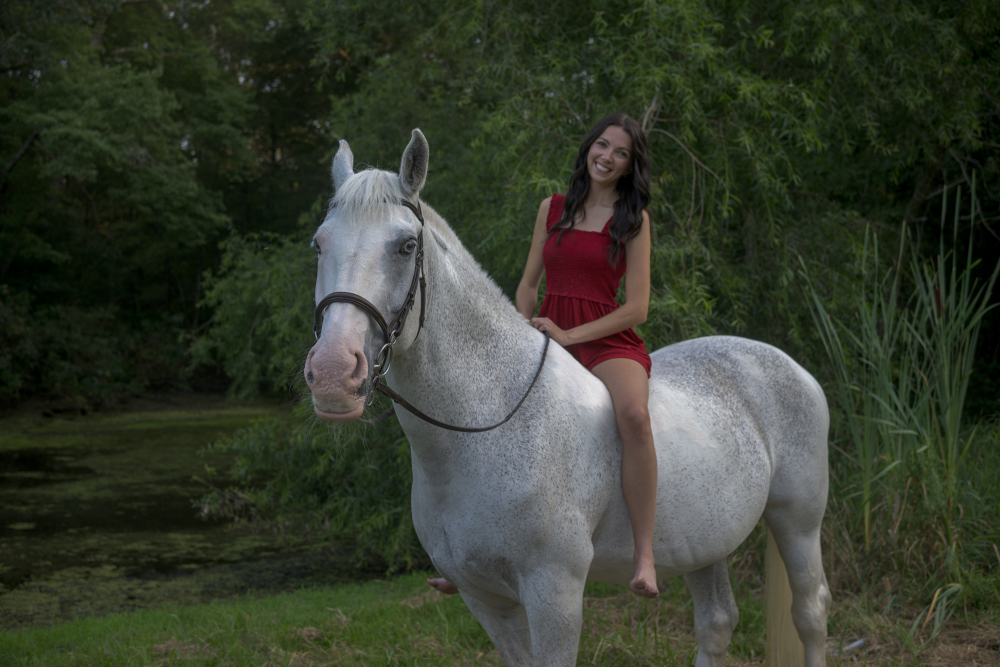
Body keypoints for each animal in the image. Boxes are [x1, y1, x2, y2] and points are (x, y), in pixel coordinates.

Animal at [304, 129, 832, 667]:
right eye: (318, 244)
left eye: (406, 246)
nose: (332, 374)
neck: (485, 424)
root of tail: (786, 364)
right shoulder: (485, 600)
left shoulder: (554, 595)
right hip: (705, 540)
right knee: (717, 623)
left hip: (798, 521)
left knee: (810, 611)